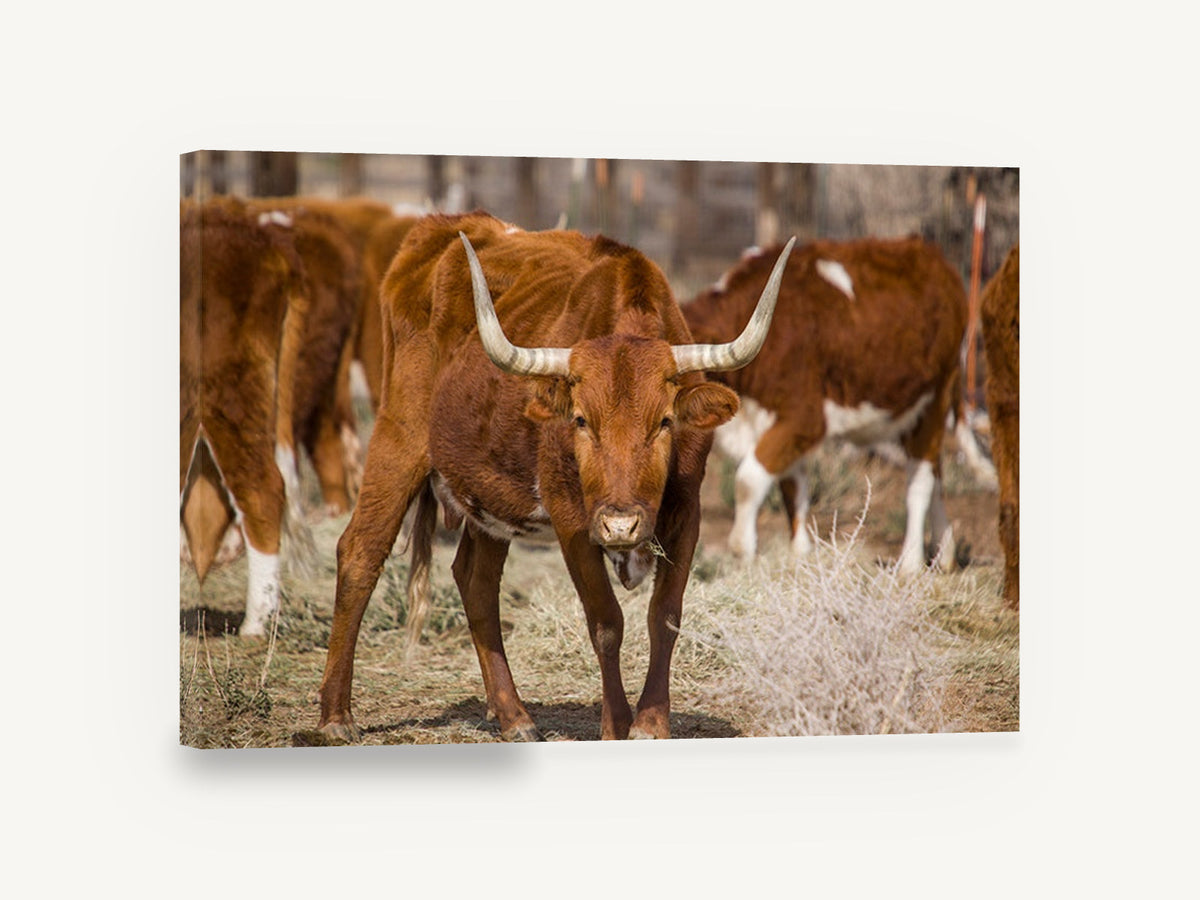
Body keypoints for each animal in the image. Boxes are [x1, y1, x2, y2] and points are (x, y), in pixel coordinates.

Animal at [316, 212, 794, 741]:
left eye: (665, 421)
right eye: (581, 420)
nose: (621, 525)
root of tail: (439, 229)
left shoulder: (686, 511)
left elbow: (665, 615)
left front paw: (651, 724)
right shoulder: (571, 519)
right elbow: (606, 620)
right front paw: (616, 726)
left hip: (490, 492)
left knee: (475, 580)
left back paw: (513, 715)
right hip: (398, 437)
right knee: (360, 552)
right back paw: (335, 715)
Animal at [682, 236, 969, 574]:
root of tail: (930, 253)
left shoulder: (804, 419)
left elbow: (748, 480)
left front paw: (745, 553)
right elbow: (793, 489)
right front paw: (800, 555)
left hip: (937, 396)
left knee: (921, 478)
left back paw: (910, 565)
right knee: (936, 471)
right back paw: (944, 553)